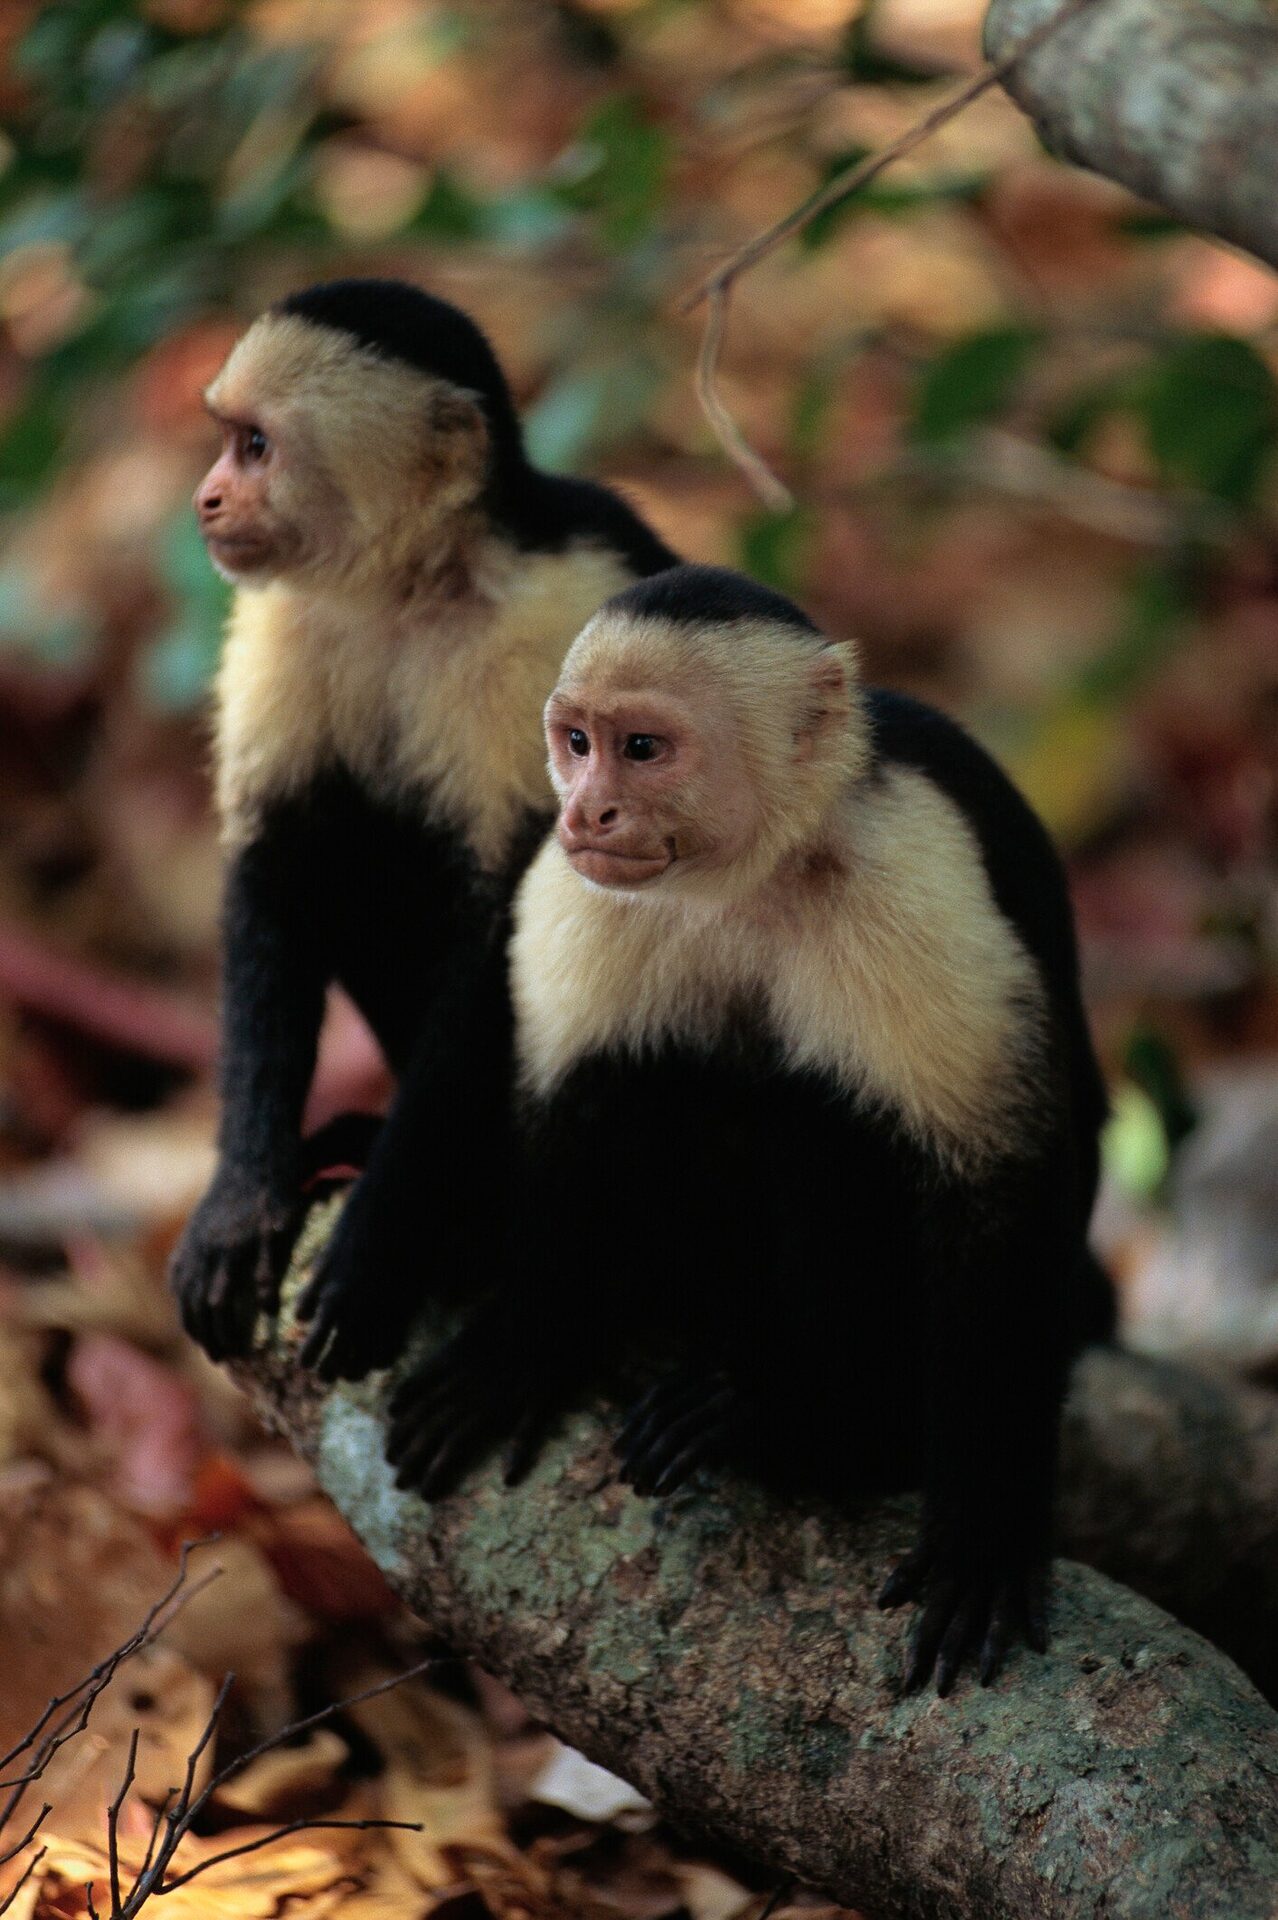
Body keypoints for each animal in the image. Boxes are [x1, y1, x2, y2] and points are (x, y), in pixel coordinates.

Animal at [170, 277, 678, 1370]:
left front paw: (379, 1244)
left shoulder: (554, 630)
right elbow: (273, 872)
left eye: (257, 447)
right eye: (227, 440)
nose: (205, 500)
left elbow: (513, 925)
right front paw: (240, 1204)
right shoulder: (286, 619)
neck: (414, 586)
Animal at [383, 562, 1114, 1695]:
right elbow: (564, 1095)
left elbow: (1000, 1177)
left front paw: (983, 1527)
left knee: (813, 1110)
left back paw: (805, 1422)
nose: (587, 809)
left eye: (644, 748)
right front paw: (526, 1342)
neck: (750, 875)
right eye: (577, 739)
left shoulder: (910, 870)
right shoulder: (585, 889)